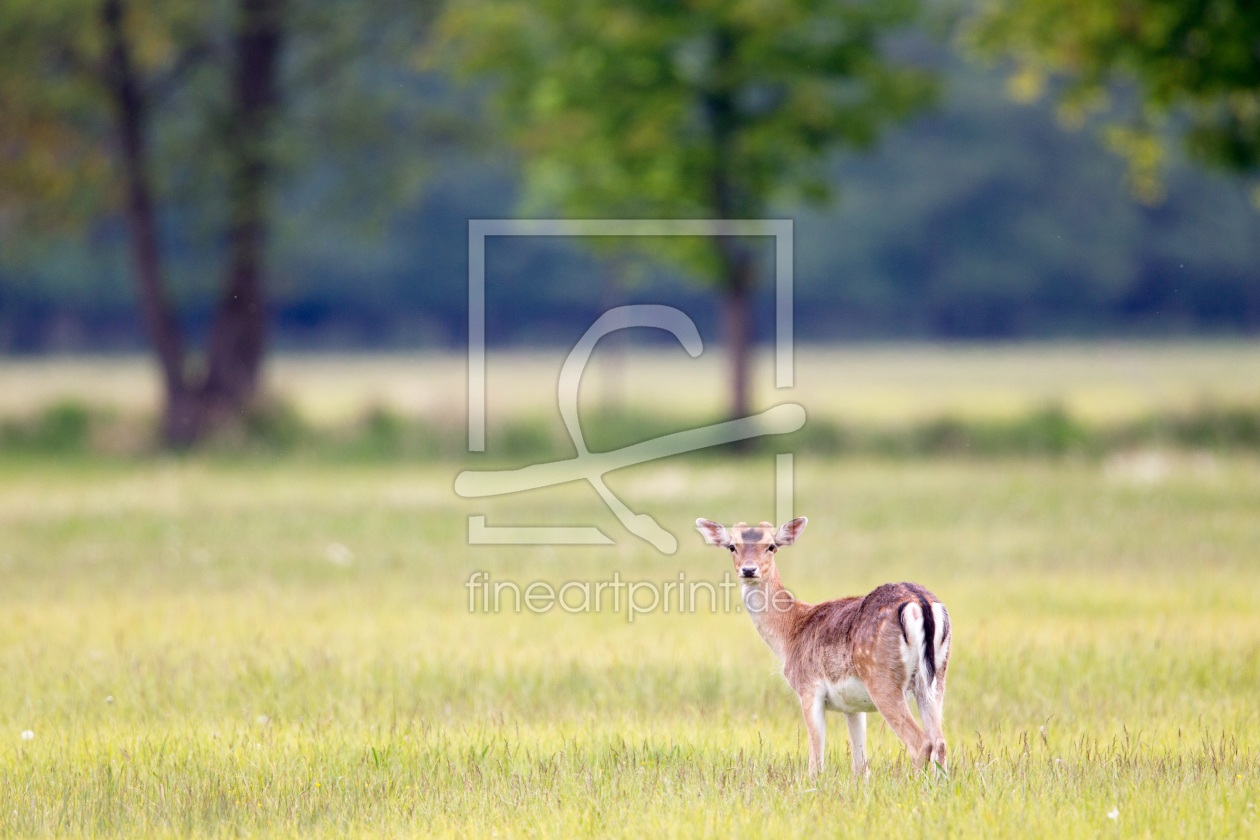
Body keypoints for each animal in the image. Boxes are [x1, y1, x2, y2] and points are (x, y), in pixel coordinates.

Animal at [695, 516, 947, 780]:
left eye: (771, 546)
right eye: (732, 546)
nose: (748, 569)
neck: (790, 634)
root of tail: (920, 603)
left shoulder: (808, 688)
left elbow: (816, 763)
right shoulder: (852, 705)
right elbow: (860, 766)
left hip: (882, 679)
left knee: (921, 742)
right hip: (934, 680)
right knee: (940, 741)